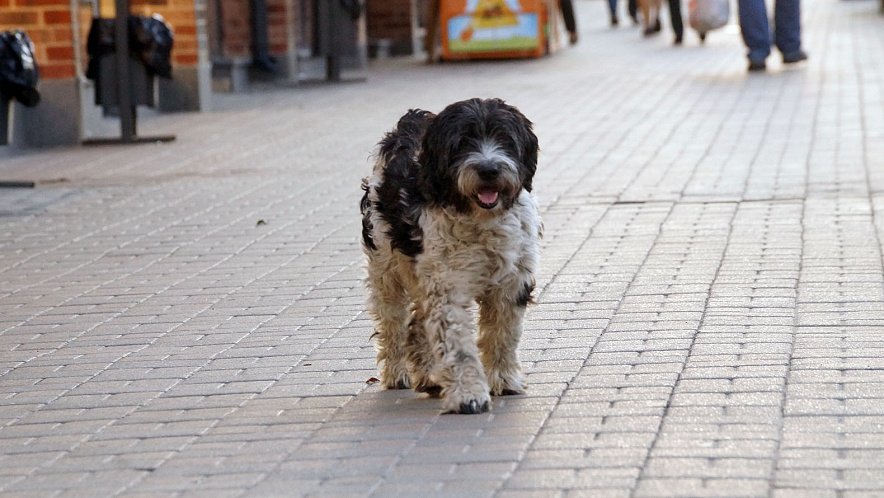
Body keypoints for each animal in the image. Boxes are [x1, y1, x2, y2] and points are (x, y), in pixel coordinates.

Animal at [358, 96, 540, 412]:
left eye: (505, 139)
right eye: (462, 142)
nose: (489, 170)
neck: (480, 221)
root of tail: (411, 120)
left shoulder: (511, 283)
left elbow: (502, 336)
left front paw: (503, 380)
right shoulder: (448, 287)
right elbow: (458, 347)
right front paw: (468, 395)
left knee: (417, 324)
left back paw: (429, 376)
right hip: (386, 269)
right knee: (392, 325)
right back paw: (397, 372)